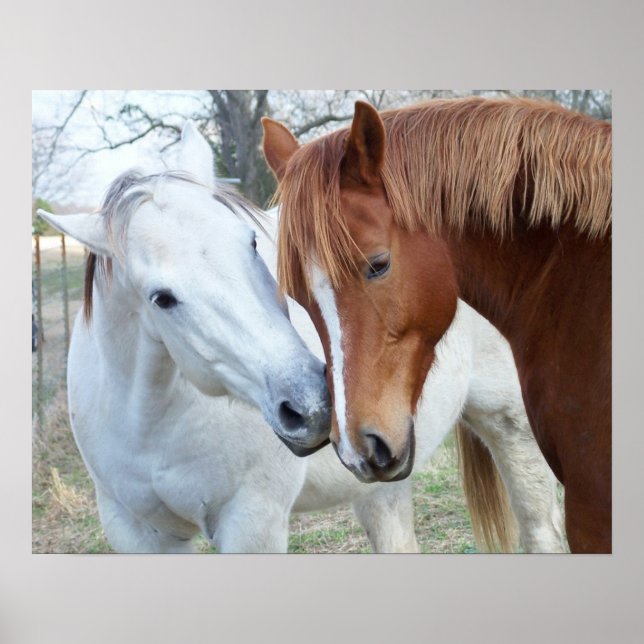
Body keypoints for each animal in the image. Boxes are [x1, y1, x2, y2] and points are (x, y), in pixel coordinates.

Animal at [37, 121, 563, 553]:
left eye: (251, 242)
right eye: (161, 298)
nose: (312, 405)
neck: (152, 427)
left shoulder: (252, 524)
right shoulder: (139, 535)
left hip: (512, 429)